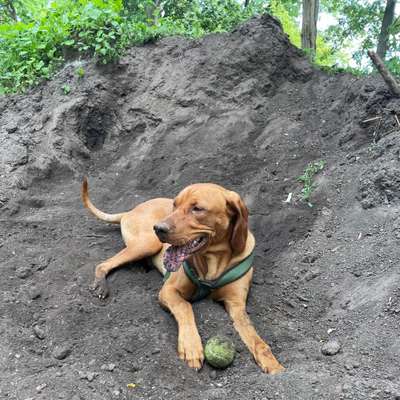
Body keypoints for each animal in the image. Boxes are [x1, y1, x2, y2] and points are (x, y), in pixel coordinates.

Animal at [81, 180, 284, 374]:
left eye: (197, 208)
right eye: (175, 204)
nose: (158, 228)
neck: (214, 262)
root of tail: (130, 210)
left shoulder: (236, 305)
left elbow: (255, 337)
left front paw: (273, 365)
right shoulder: (168, 290)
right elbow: (185, 307)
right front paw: (191, 347)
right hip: (148, 242)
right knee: (103, 264)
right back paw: (101, 284)